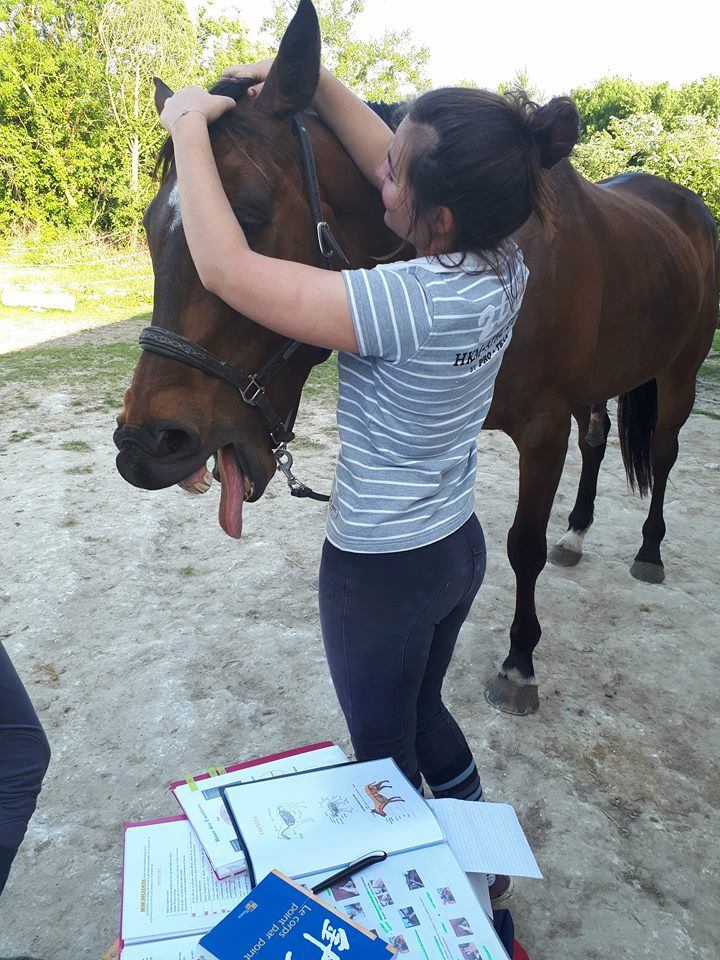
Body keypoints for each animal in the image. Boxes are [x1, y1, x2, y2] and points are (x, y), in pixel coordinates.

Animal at [114, 0, 720, 712]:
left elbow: (522, 547)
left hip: (679, 376)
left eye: (250, 217)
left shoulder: (543, 432)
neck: (480, 250)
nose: (146, 444)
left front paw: (520, 661)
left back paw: (649, 551)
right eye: (150, 227)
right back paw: (577, 532)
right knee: (597, 438)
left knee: (663, 452)